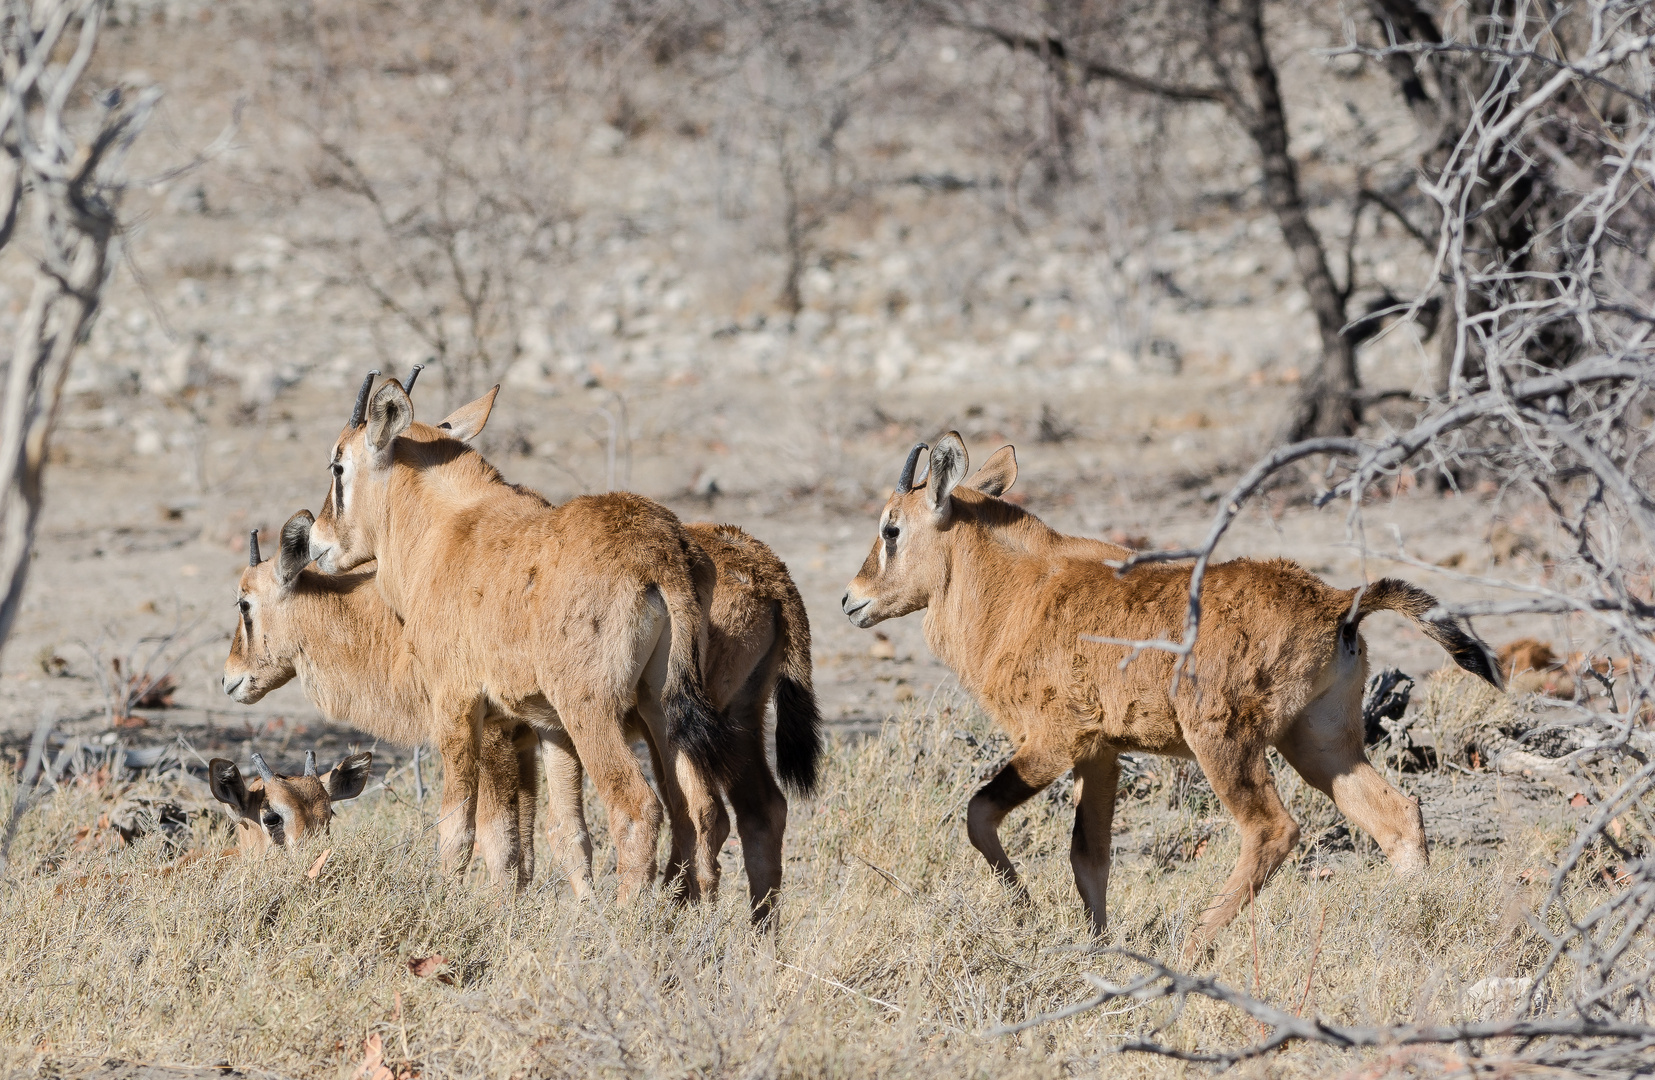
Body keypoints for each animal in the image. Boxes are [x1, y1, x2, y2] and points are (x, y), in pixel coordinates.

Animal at [306, 372, 731, 899]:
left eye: (338, 465)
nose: (316, 542)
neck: (445, 528)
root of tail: (660, 552)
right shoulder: (548, 726)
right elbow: (567, 831)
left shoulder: (457, 705)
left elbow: (458, 825)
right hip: (659, 707)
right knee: (699, 807)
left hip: (592, 710)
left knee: (636, 807)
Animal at [847, 430, 1509, 952]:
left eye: (891, 528)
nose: (853, 600)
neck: (1022, 586)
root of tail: (1337, 604)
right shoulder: (1101, 753)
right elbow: (1089, 857)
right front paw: (1099, 945)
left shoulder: (1056, 742)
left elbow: (979, 813)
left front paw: (1027, 912)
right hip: (1321, 746)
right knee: (1397, 816)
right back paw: (1415, 921)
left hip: (1223, 742)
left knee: (1273, 829)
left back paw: (1195, 942)